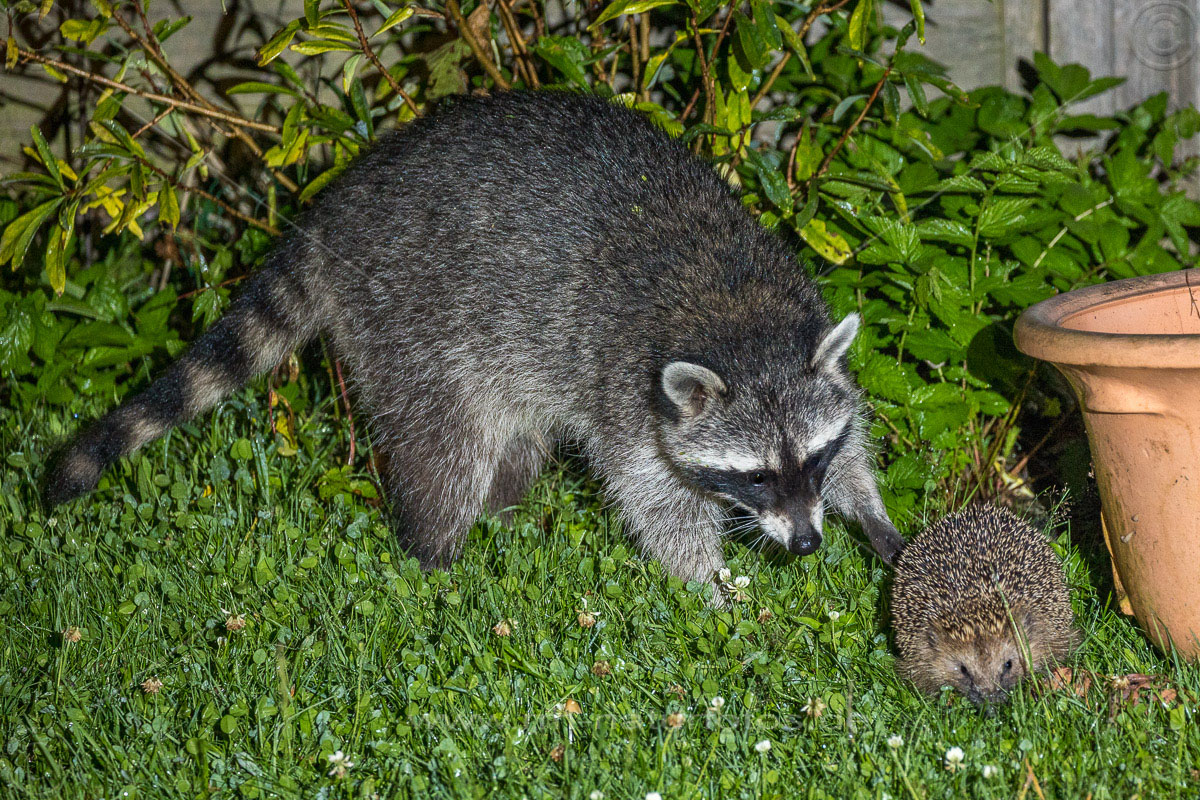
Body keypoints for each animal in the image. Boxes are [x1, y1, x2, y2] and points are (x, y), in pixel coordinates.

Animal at [46, 91, 904, 598]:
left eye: (811, 460)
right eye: (753, 477)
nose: (806, 544)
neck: (733, 307)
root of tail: (331, 216)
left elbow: (852, 438)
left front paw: (868, 510)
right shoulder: (625, 384)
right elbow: (655, 501)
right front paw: (712, 586)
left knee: (513, 441)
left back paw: (503, 520)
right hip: (409, 314)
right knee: (446, 449)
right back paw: (438, 558)